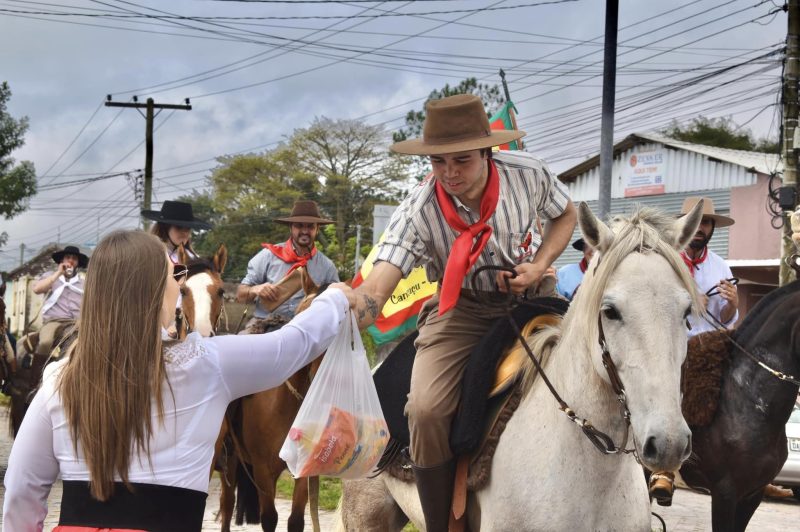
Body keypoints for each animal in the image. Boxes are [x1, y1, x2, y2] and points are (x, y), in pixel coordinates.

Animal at [216, 270, 324, 532]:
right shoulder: (264, 470)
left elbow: (296, 520)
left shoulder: (302, 470)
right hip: (229, 459)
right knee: (227, 503)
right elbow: (269, 518)